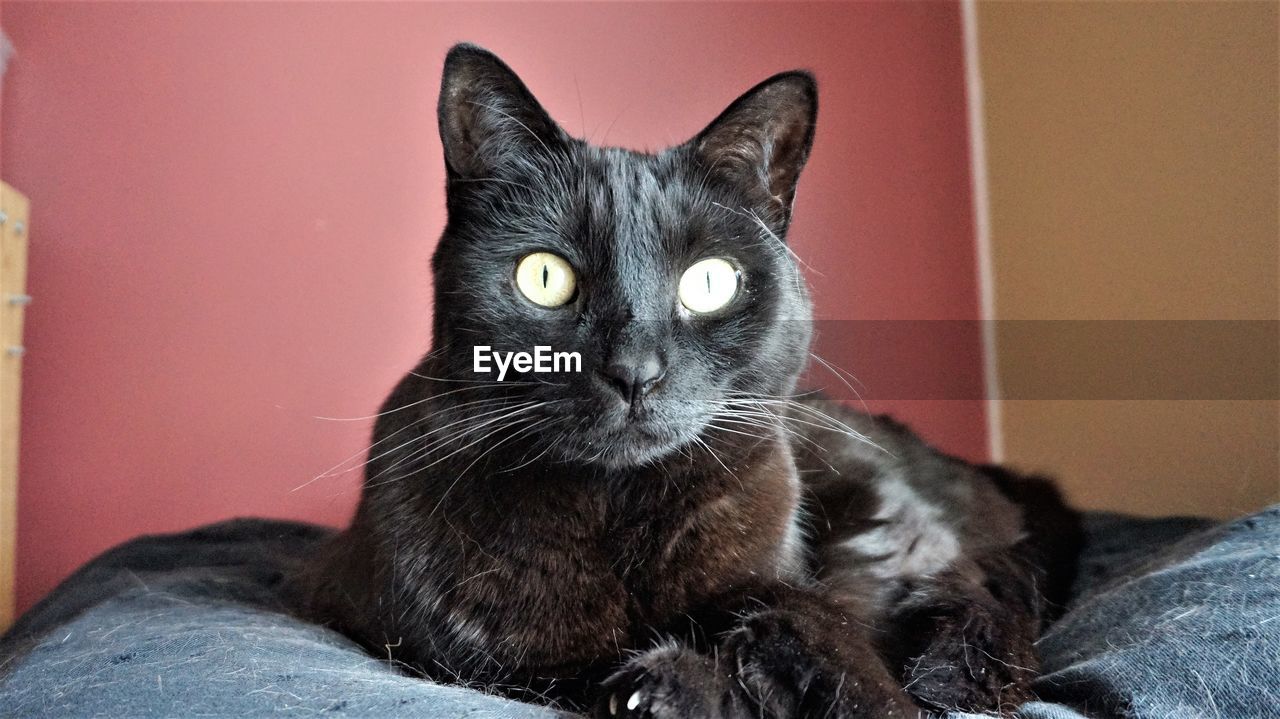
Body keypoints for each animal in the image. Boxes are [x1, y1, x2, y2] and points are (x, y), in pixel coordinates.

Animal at [296, 46, 1080, 716]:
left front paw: (721, 669)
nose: (634, 370)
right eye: (544, 277)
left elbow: (823, 640)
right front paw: (675, 685)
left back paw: (948, 671)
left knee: (968, 593)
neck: (615, 512)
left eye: (708, 282)